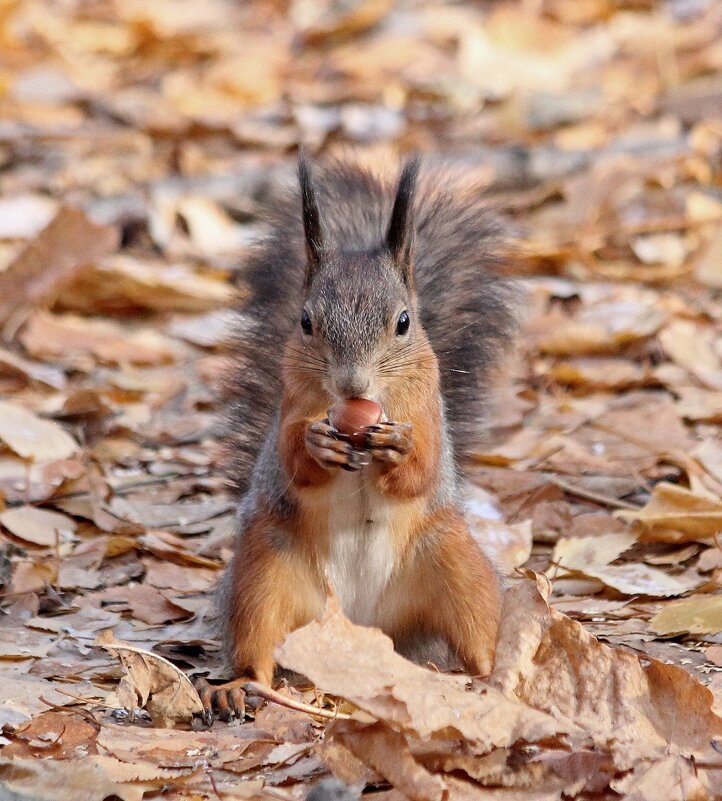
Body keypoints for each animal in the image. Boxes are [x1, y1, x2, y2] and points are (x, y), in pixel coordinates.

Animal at [194, 153, 516, 720]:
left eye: (405, 322)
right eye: (305, 321)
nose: (352, 386)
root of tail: (364, 626)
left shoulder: (429, 411)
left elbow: (423, 470)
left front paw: (399, 450)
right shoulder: (289, 407)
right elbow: (291, 460)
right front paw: (317, 446)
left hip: (455, 565)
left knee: (478, 633)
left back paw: (487, 681)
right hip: (265, 572)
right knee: (257, 646)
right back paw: (237, 686)